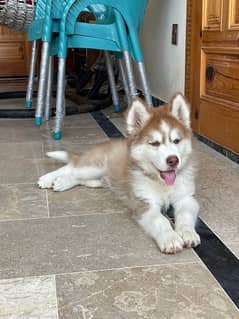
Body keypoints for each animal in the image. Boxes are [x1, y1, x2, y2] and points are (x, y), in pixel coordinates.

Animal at [38, 93, 201, 255]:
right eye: (154, 143)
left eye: (176, 141)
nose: (173, 160)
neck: (160, 182)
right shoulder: (143, 203)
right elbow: (161, 220)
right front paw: (170, 238)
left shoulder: (186, 198)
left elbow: (186, 214)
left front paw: (187, 233)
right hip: (94, 166)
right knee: (72, 166)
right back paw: (48, 179)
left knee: (80, 176)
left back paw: (63, 182)